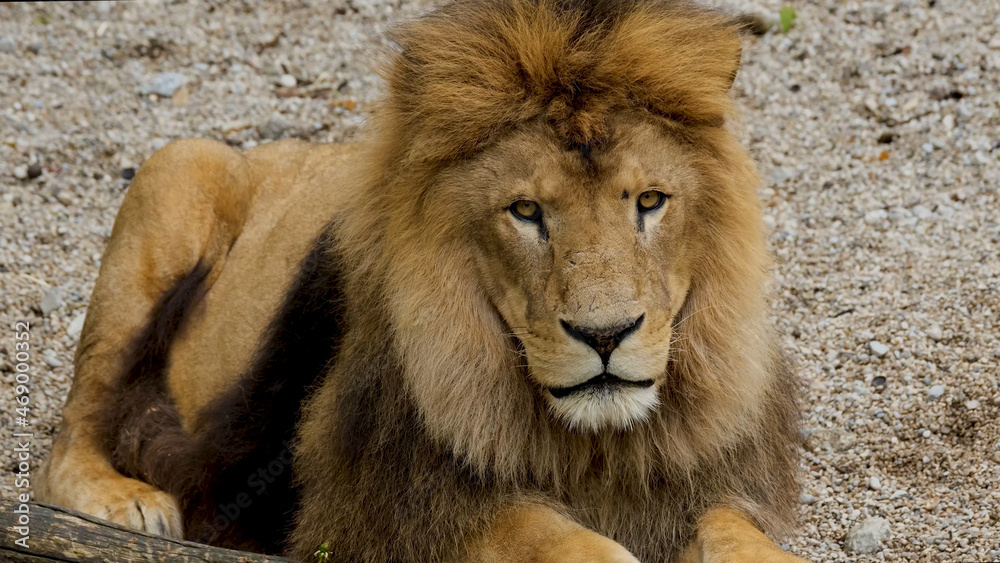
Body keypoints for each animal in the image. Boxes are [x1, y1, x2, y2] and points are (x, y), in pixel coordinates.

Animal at [38, 0, 805, 561]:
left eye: (649, 201)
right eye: (526, 211)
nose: (606, 334)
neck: (591, 445)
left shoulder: (702, 484)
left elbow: (740, 535)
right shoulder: (371, 511)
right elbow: (549, 535)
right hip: (176, 169)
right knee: (70, 432)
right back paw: (129, 503)